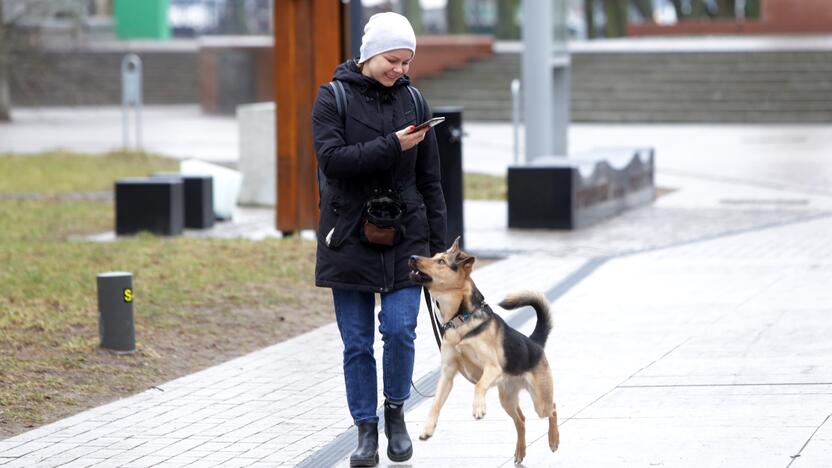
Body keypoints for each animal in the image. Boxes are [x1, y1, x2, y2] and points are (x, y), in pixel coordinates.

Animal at [410, 238, 560, 464]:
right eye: (433, 256)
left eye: (441, 262)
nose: (412, 257)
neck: (460, 320)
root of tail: (534, 342)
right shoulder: (447, 374)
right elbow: (435, 404)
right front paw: (428, 428)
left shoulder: (492, 368)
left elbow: (479, 386)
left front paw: (478, 408)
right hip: (506, 398)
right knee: (521, 420)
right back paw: (520, 452)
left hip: (540, 400)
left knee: (552, 409)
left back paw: (553, 440)